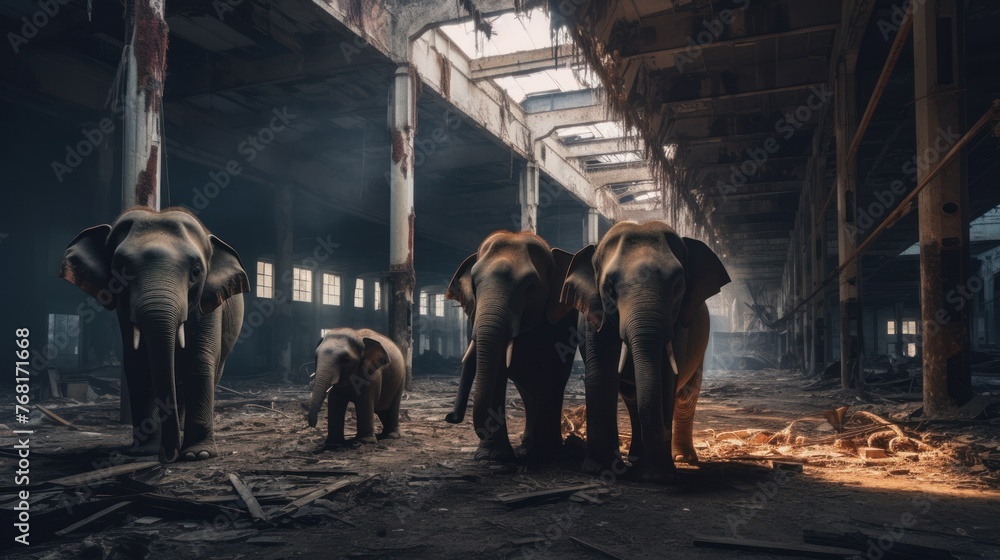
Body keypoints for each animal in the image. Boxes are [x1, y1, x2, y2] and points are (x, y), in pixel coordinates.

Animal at [59, 207, 249, 462]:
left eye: (196, 272)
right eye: (120, 268)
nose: (169, 455)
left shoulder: (209, 305)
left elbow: (198, 360)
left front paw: (197, 454)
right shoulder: (124, 310)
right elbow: (137, 362)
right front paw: (144, 451)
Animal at [445, 231, 578, 463]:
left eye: (530, 286)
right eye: (475, 282)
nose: (449, 416)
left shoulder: (560, 322)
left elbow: (552, 370)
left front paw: (545, 456)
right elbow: (497, 369)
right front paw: (493, 457)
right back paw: (526, 444)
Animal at [560, 221, 730, 482]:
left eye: (678, 285)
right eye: (610, 288)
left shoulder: (678, 325)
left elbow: (666, 377)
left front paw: (656, 476)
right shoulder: (595, 317)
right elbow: (601, 375)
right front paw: (598, 470)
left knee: (686, 394)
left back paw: (682, 459)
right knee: (633, 399)